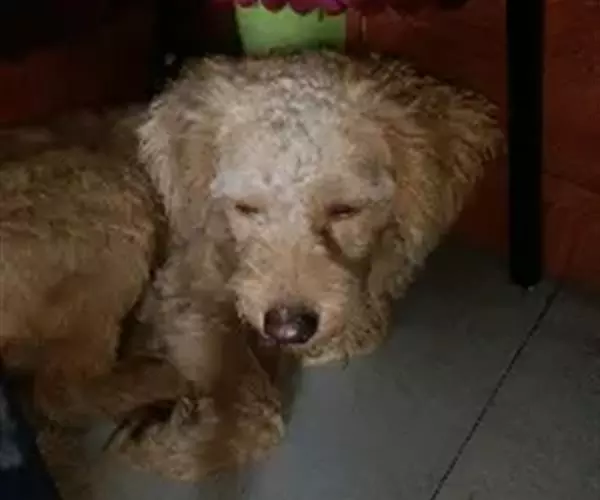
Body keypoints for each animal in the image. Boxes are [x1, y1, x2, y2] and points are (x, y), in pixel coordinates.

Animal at [0, 51, 501, 489]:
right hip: (110, 197)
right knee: (58, 388)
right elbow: (256, 409)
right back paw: (159, 378)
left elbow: (363, 322)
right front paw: (168, 447)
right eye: (245, 207)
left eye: (345, 209)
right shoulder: (183, 288)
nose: (288, 328)